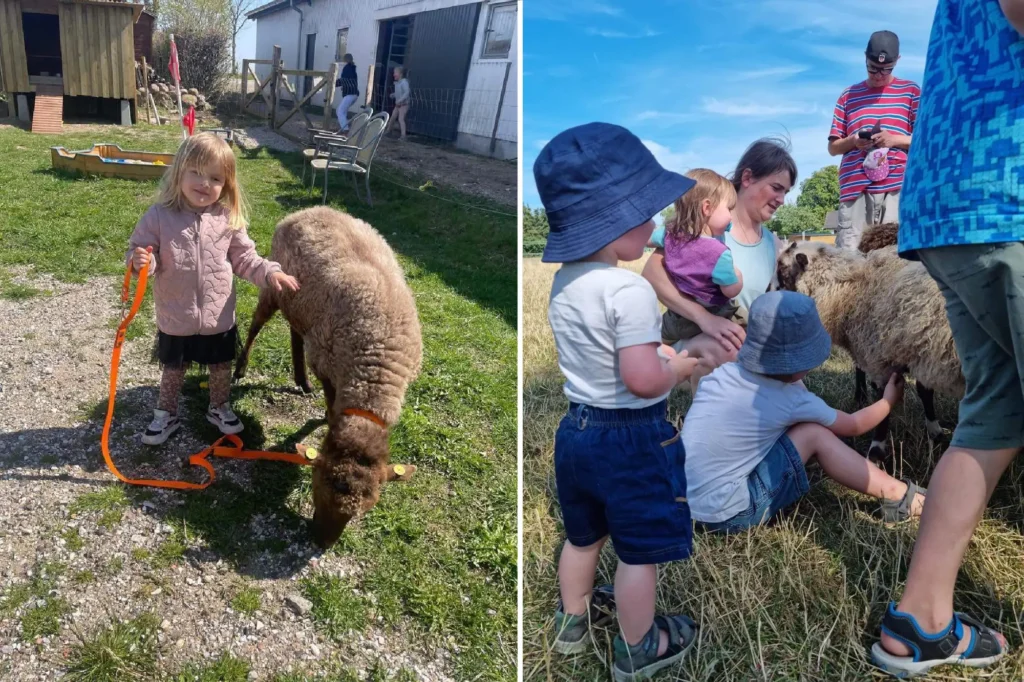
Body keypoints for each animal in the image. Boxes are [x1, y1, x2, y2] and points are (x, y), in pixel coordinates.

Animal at [234, 204, 421, 544]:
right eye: (317, 488)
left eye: (365, 510)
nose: (322, 543)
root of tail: (308, 210)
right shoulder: (327, 364)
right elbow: (332, 408)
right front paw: (328, 417)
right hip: (275, 288)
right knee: (256, 324)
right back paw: (242, 367)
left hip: (302, 305)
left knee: (296, 334)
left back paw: (301, 380)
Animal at [770, 240, 962, 462]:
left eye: (783, 270)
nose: (766, 295)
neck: (852, 291)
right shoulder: (920, 350)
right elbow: (924, 391)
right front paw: (935, 432)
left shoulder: (879, 359)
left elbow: (884, 402)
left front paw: (876, 450)